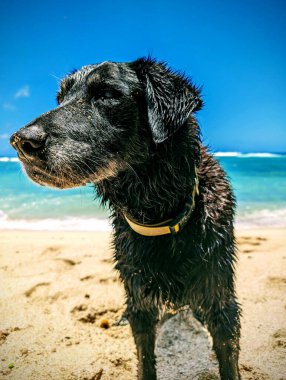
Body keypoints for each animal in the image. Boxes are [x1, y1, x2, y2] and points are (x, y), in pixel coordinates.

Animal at [10, 57, 240, 380]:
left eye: (108, 94)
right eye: (61, 98)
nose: (21, 142)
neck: (161, 218)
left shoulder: (220, 300)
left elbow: (228, 358)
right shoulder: (139, 297)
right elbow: (145, 357)